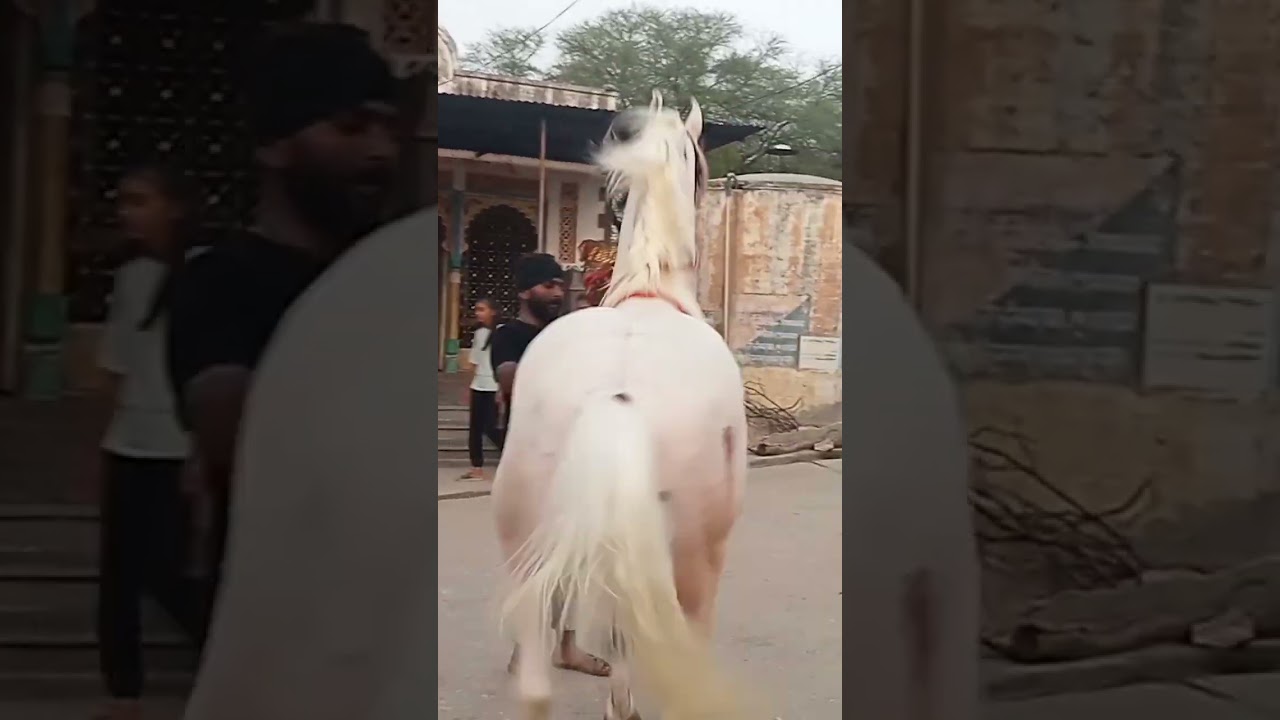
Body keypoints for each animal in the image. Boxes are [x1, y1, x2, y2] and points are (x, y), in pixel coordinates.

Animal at [491, 92, 749, 720]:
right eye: (702, 165)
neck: (650, 291)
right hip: (697, 560)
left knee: (536, 681)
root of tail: (617, 397)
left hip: (526, 543)